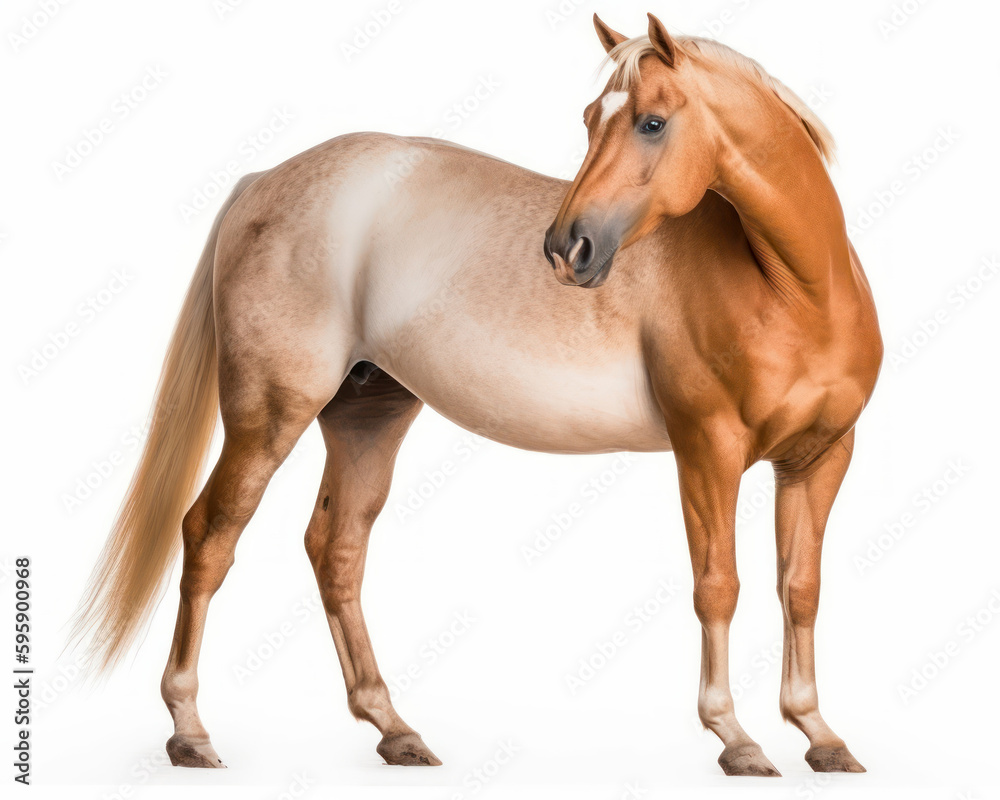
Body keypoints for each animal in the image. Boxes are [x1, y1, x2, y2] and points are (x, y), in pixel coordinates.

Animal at [72, 13, 882, 778]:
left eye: (652, 121)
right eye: (590, 117)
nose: (567, 248)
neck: (796, 290)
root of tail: (265, 179)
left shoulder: (820, 461)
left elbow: (800, 588)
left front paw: (820, 736)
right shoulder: (707, 449)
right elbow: (718, 586)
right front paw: (736, 739)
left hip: (367, 414)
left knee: (336, 549)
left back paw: (394, 729)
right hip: (269, 415)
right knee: (211, 534)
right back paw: (190, 731)